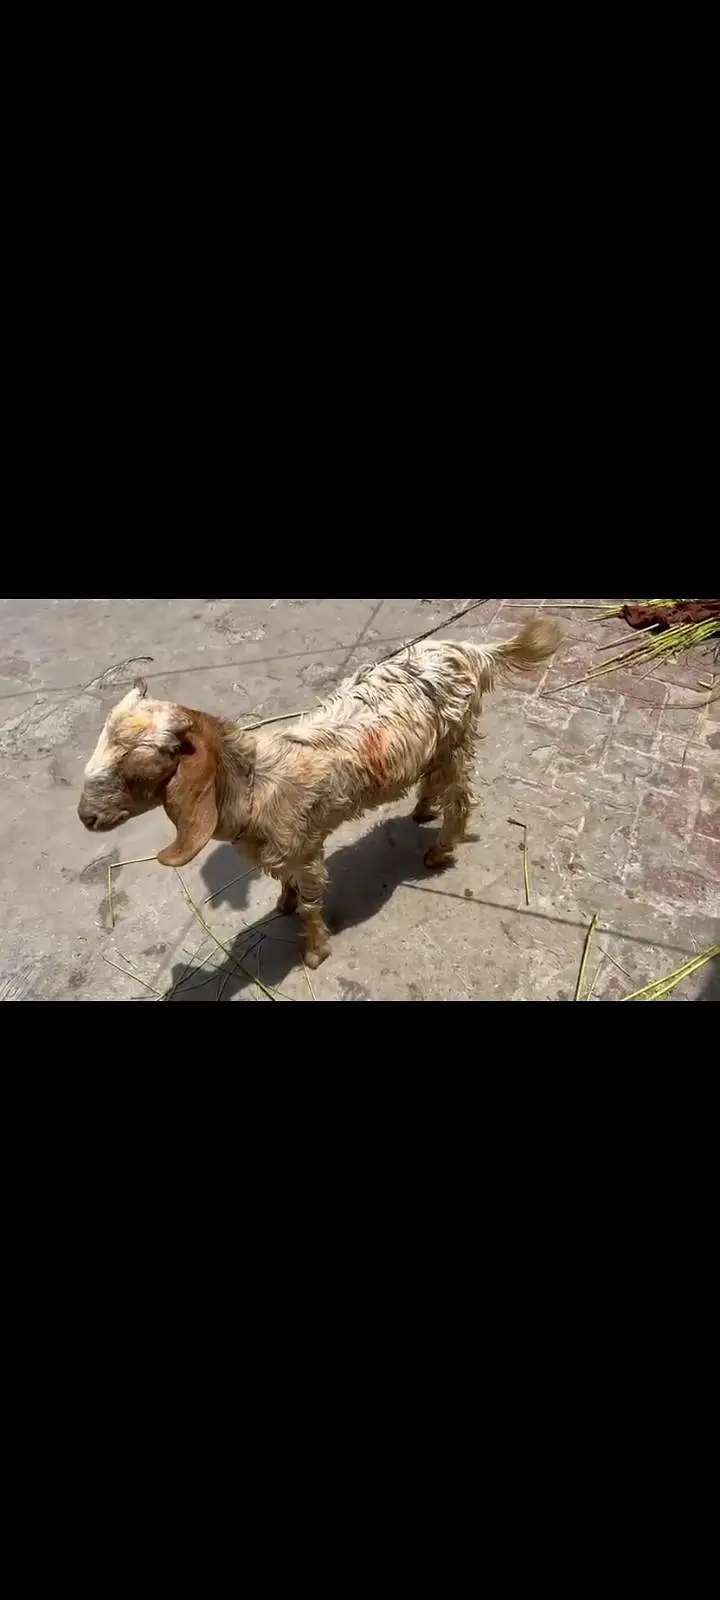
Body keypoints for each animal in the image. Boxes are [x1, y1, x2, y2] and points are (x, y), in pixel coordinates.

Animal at [78, 618, 560, 967]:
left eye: (138, 765)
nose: (86, 817)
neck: (255, 785)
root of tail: (473, 651)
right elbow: (287, 884)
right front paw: (282, 903)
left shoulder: (305, 848)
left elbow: (312, 904)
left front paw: (313, 952)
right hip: (439, 746)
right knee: (435, 782)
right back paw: (422, 810)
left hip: (458, 737)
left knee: (460, 798)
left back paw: (440, 851)